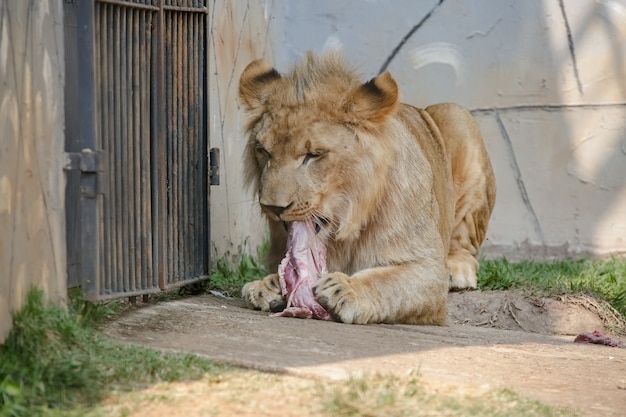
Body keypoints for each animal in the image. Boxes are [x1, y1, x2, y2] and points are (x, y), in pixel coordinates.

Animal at [236, 52, 494, 324]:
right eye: (264, 151)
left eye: (313, 155)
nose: (273, 207)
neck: (344, 224)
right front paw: (268, 286)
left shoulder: (428, 270)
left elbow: (388, 282)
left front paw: (345, 290)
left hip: (458, 117)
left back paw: (457, 268)